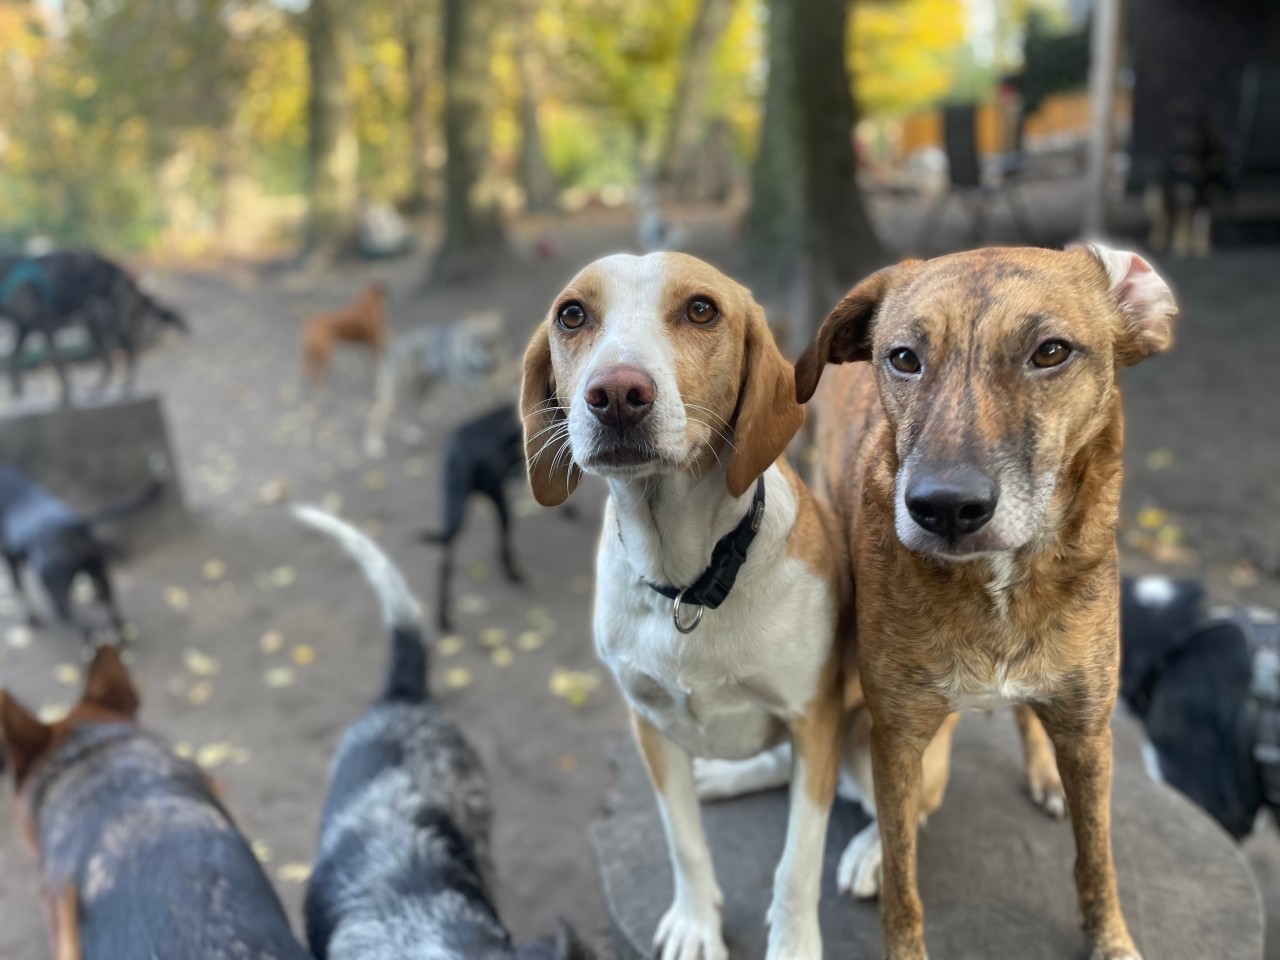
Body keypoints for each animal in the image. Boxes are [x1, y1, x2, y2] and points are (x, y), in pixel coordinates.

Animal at [0, 463, 162, 647]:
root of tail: (76, 524)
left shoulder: (9, 557)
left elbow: (18, 588)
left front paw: (31, 618)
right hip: (98, 569)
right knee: (110, 604)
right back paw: (118, 631)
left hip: (55, 585)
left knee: (77, 620)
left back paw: (89, 645)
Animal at [519, 253, 849, 960]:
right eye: (572, 315)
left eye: (701, 310)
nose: (617, 393)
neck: (690, 581)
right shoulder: (651, 726)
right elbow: (684, 843)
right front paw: (696, 923)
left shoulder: (816, 719)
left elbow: (797, 863)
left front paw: (792, 942)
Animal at [788, 241, 1177, 960]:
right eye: (903, 357)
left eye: (1051, 351)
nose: (944, 507)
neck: (996, 584)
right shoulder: (898, 732)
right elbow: (904, 882)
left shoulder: (1088, 728)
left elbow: (1097, 858)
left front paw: (1111, 940)